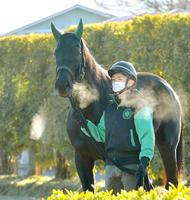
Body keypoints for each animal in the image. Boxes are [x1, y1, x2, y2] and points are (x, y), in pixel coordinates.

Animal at [51, 19, 183, 191]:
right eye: (56, 53)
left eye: (76, 51)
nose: (62, 85)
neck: (91, 109)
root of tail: (167, 86)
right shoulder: (82, 159)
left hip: (168, 147)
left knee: (171, 182)